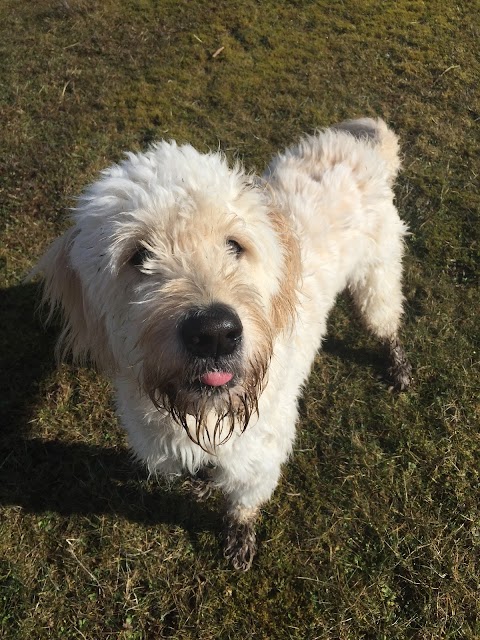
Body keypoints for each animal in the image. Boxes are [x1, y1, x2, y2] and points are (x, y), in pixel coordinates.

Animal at [33, 119, 410, 568]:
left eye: (235, 245)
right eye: (138, 255)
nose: (214, 333)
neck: (201, 414)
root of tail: (362, 144)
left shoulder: (261, 453)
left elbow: (243, 499)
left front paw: (238, 532)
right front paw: (204, 482)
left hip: (377, 278)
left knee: (387, 322)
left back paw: (398, 365)